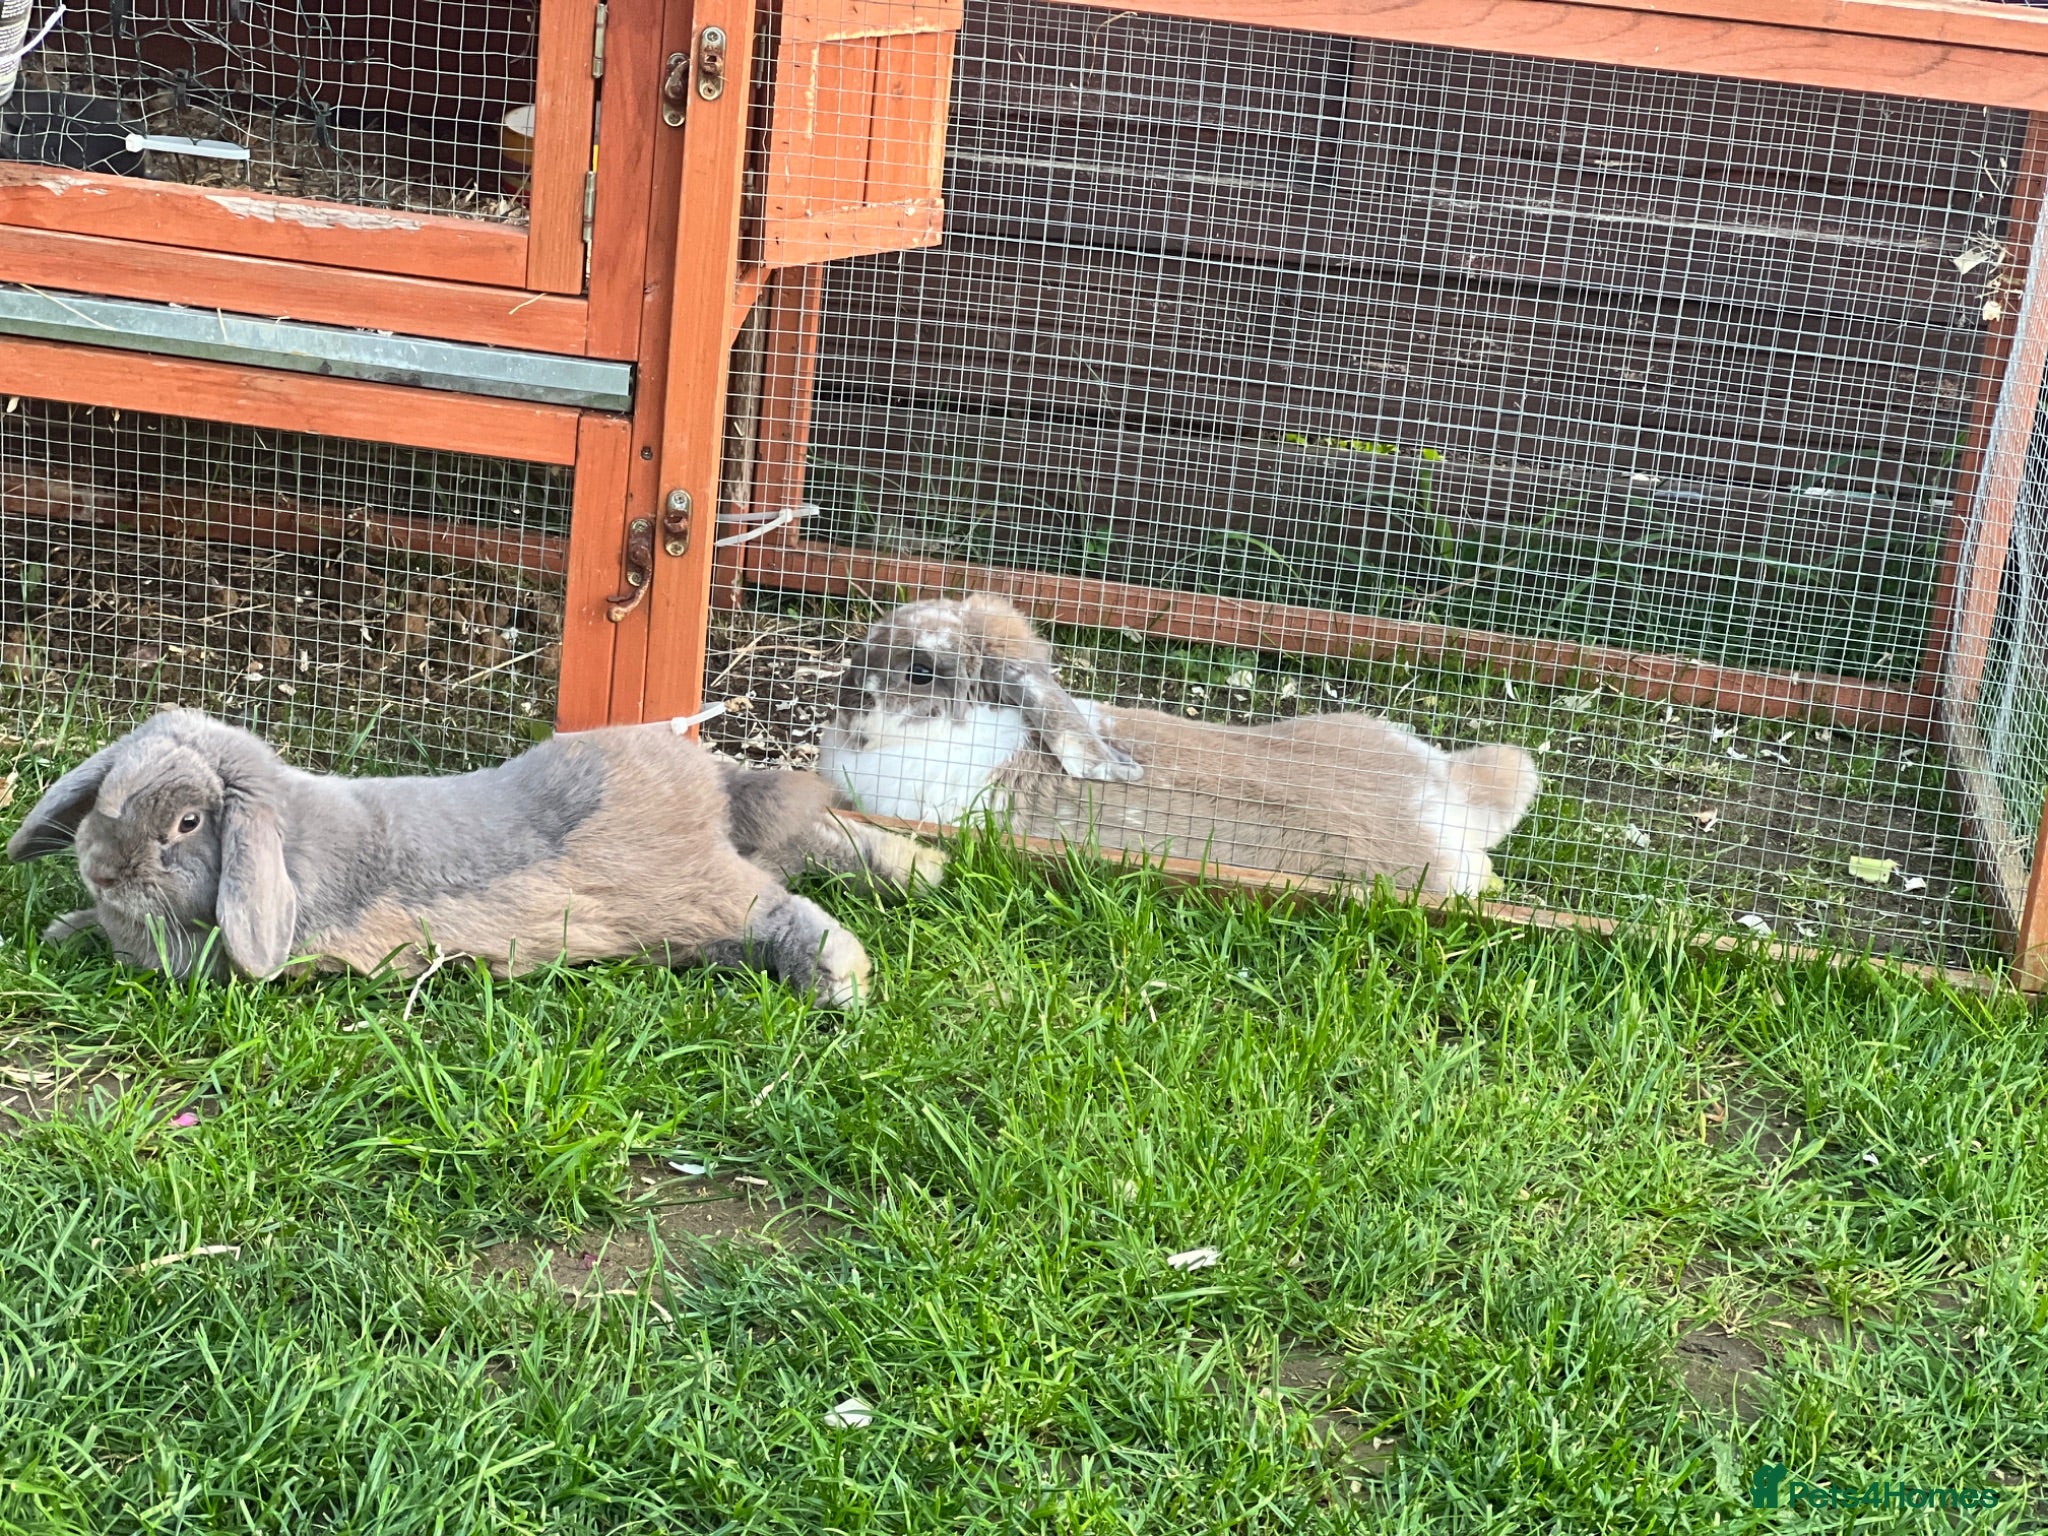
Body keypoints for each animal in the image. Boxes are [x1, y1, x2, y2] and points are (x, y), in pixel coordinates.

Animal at [6, 708, 947, 1007]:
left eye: (189, 823)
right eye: (107, 788)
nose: (101, 868)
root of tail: (710, 792)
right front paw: (64, 926)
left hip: (701, 898)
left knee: (789, 906)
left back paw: (842, 981)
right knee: (819, 834)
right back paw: (922, 873)